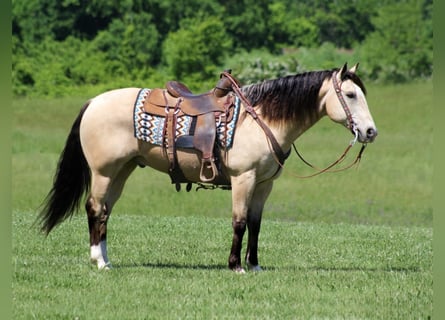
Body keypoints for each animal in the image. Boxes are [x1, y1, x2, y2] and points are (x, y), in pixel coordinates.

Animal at [39, 63, 378, 272]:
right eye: (350, 95)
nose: (370, 132)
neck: (260, 120)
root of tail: (93, 102)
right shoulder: (244, 179)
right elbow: (239, 222)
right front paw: (236, 265)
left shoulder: (264, 184)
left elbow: (256, 224)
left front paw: (255, 264)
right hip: (104, 172)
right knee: (95, 208)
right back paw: (99, 261)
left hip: (123, 170)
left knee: (105, 211)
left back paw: (106, 258)